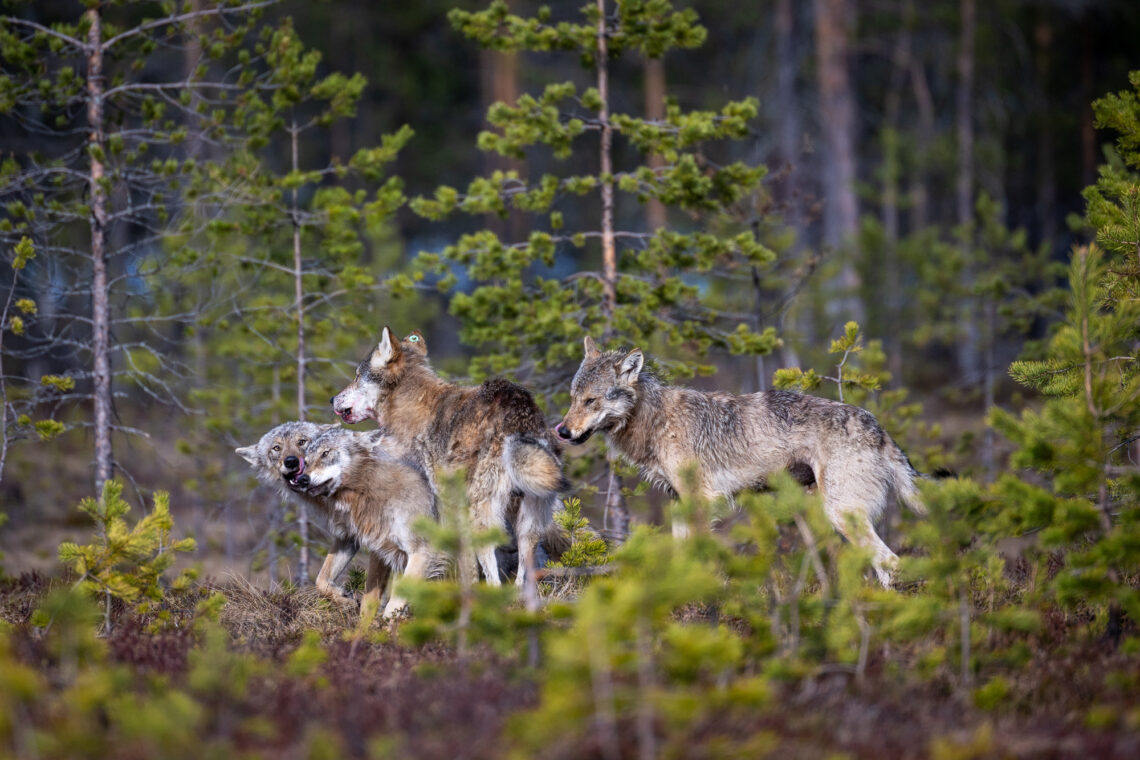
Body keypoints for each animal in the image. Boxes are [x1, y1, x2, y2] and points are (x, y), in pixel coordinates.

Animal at [233, 426, 421, 610]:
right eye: (276, 448)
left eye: (302, 442)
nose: (291, 461)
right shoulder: (348, 536)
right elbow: (320, 580)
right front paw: (343, 598)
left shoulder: (381, 542)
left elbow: (371, 597)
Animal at [291, 428, 446, 619]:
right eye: (306, 461)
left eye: (325, 453)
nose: (301, 480)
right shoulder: (372, 548)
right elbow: (327, 583)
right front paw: (348, 604)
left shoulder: (422, 552)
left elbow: (392, 607)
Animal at [330, 328, 570, 587]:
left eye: (356, 376)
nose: (332, 399)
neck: (420, 411)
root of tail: (519, 412)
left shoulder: (451, 507)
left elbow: (465, 566)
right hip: (529, 521)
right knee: (524, 567)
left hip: (481, 514)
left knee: (492, 569)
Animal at [554, 334, 925, 587]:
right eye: (572, 398)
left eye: (591, 401)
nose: (562, 431)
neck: (655, 420)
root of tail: (878, 426)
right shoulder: (679, 503)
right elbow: (681, 556)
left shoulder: (703, 500)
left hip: (840, 514)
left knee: (892, 562)